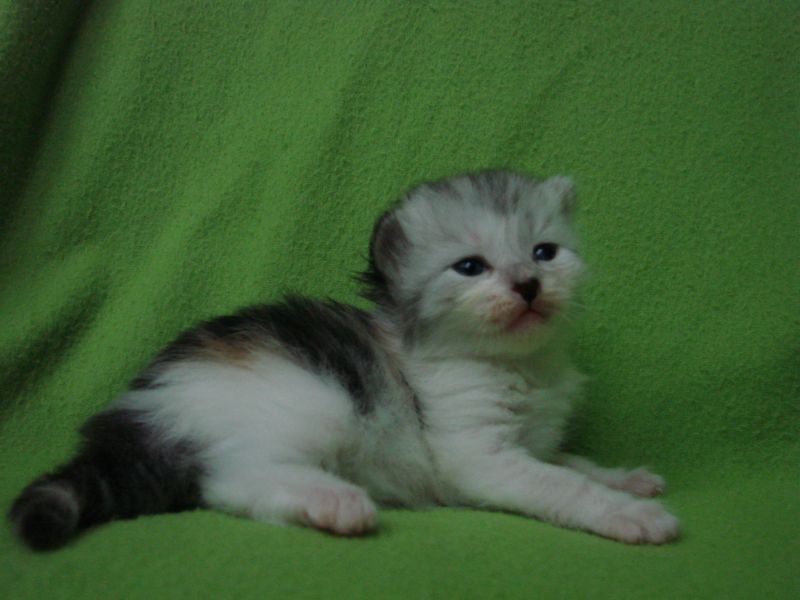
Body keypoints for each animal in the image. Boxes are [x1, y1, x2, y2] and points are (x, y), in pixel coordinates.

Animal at [9, 171, 680, 550]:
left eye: (545, 253)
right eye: (470, 267)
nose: (528, 285)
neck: (520, 366)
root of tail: (140, 405)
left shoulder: (531, 440)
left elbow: (569, 461)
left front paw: (624, 478)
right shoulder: (477, 455)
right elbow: (559, 483)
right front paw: (630, 514)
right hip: (319, 401)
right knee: (227, 479)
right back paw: (332, 501)